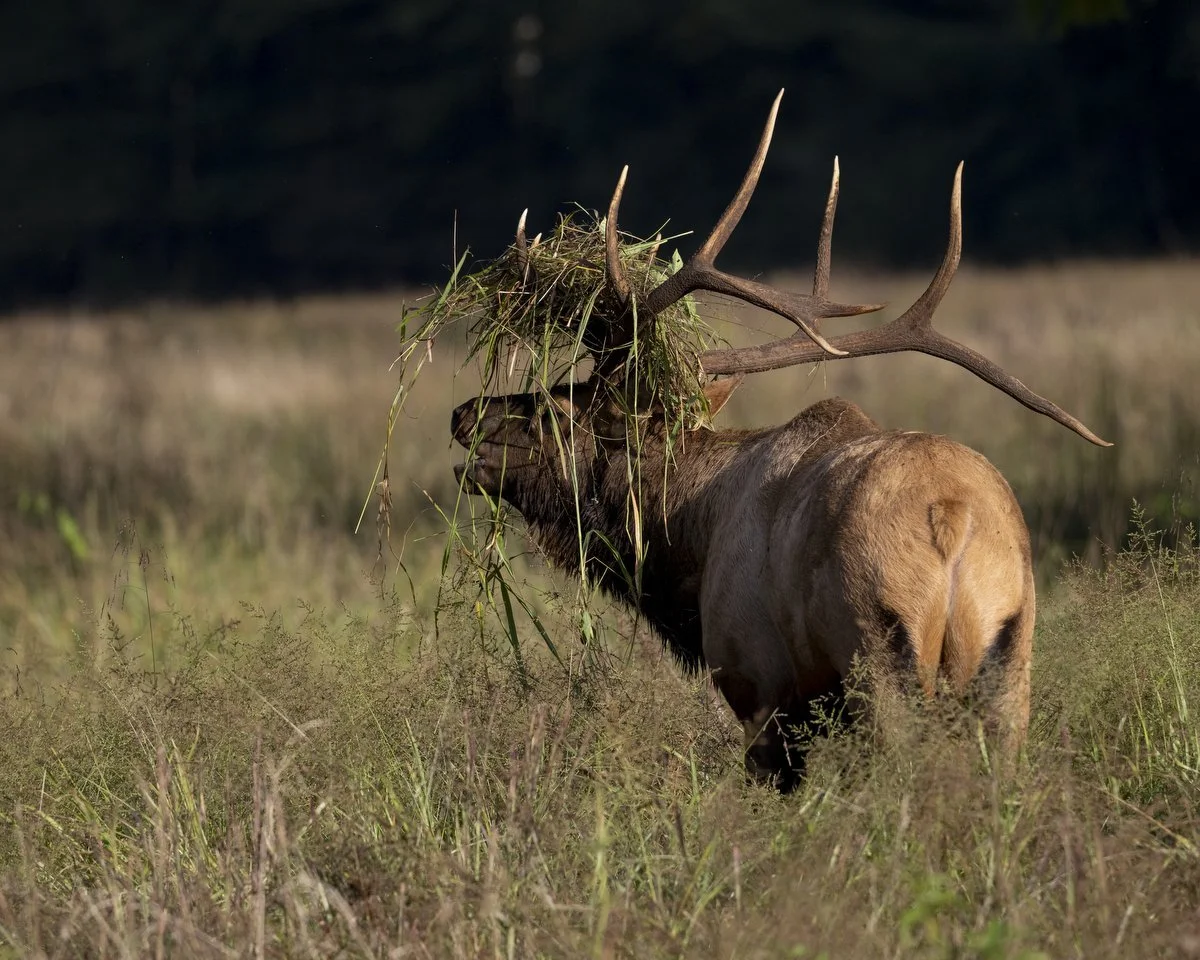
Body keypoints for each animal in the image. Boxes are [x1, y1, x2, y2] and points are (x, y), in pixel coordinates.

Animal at [449, 90, 1110, 790]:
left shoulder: (756, 684)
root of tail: (950, 519)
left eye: (558, 409)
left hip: (880, 653)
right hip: (1010, 663)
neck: (688, 540)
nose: (464, 414)